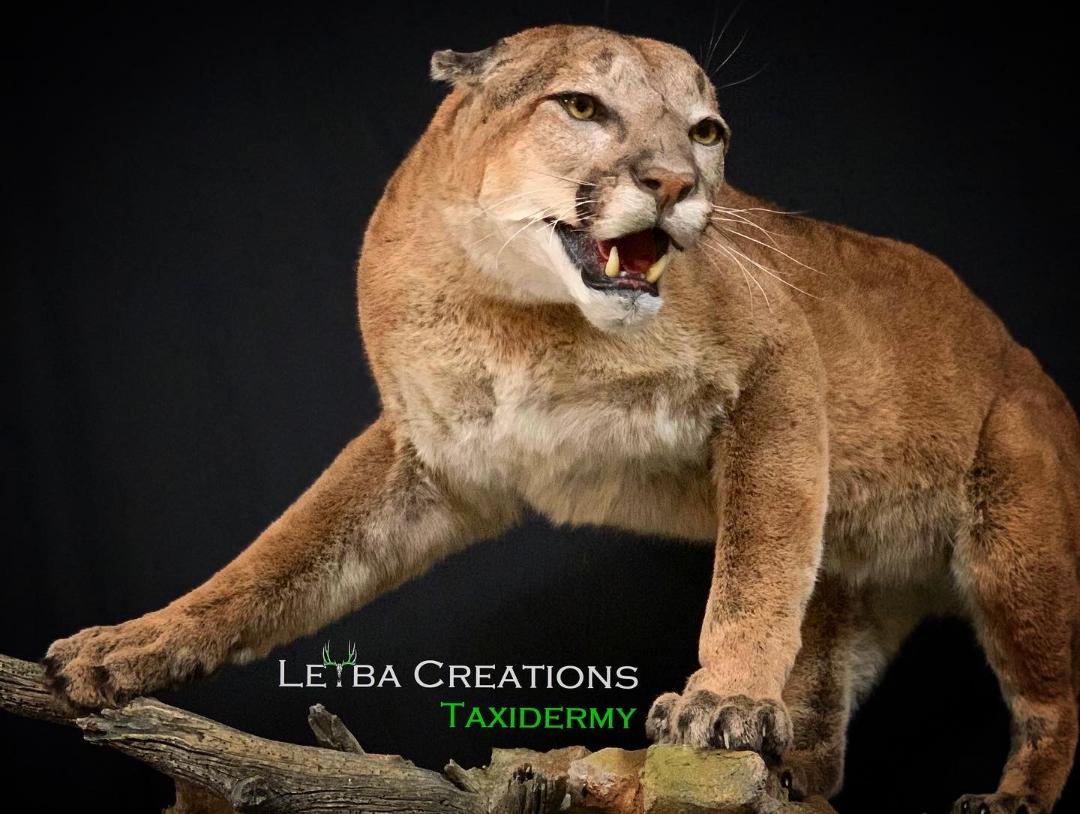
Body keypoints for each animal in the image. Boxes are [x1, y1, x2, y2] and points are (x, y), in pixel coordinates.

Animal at [43, 25, 1079, 813]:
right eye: (582, 107)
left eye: (707, 131)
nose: (675, 182)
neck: (517, 314)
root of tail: (1034, 367)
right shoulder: (431, 458)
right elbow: (279, 561)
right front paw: (129, 647)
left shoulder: (780, 368)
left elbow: (754, 566)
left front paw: (725, 699)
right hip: (858, 588)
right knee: (826, 696)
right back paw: (793, 770)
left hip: (1014, 544)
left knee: (1050, 698)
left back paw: (1008, 796)